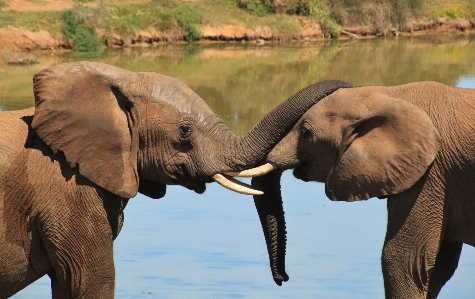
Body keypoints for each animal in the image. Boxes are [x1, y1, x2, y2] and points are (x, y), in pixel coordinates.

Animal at [242, 82, 475, 299]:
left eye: (306, 133)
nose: (283, 278)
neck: (390, 95)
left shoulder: (429, 175)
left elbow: (404, 260)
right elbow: (438, 267)